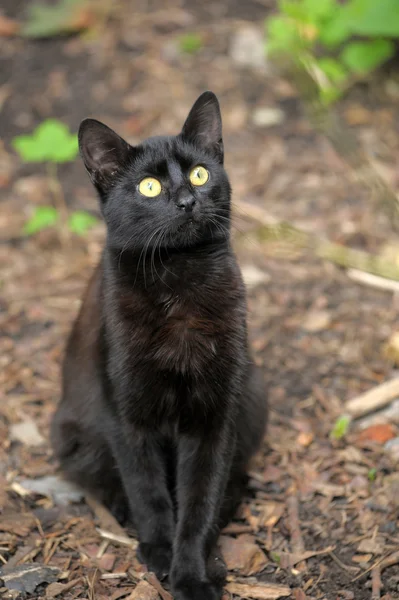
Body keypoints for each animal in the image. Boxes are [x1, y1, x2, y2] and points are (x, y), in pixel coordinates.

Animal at [50, 92, 268, 600]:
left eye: (200, 174)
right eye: (149, 187)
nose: (187, 200)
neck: (179, 279)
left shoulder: (215, 418)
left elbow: (200, 499)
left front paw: (192, 572)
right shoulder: (127, 416)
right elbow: (146, 488)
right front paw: (160, 553)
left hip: (253, 395)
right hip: (74, 435)